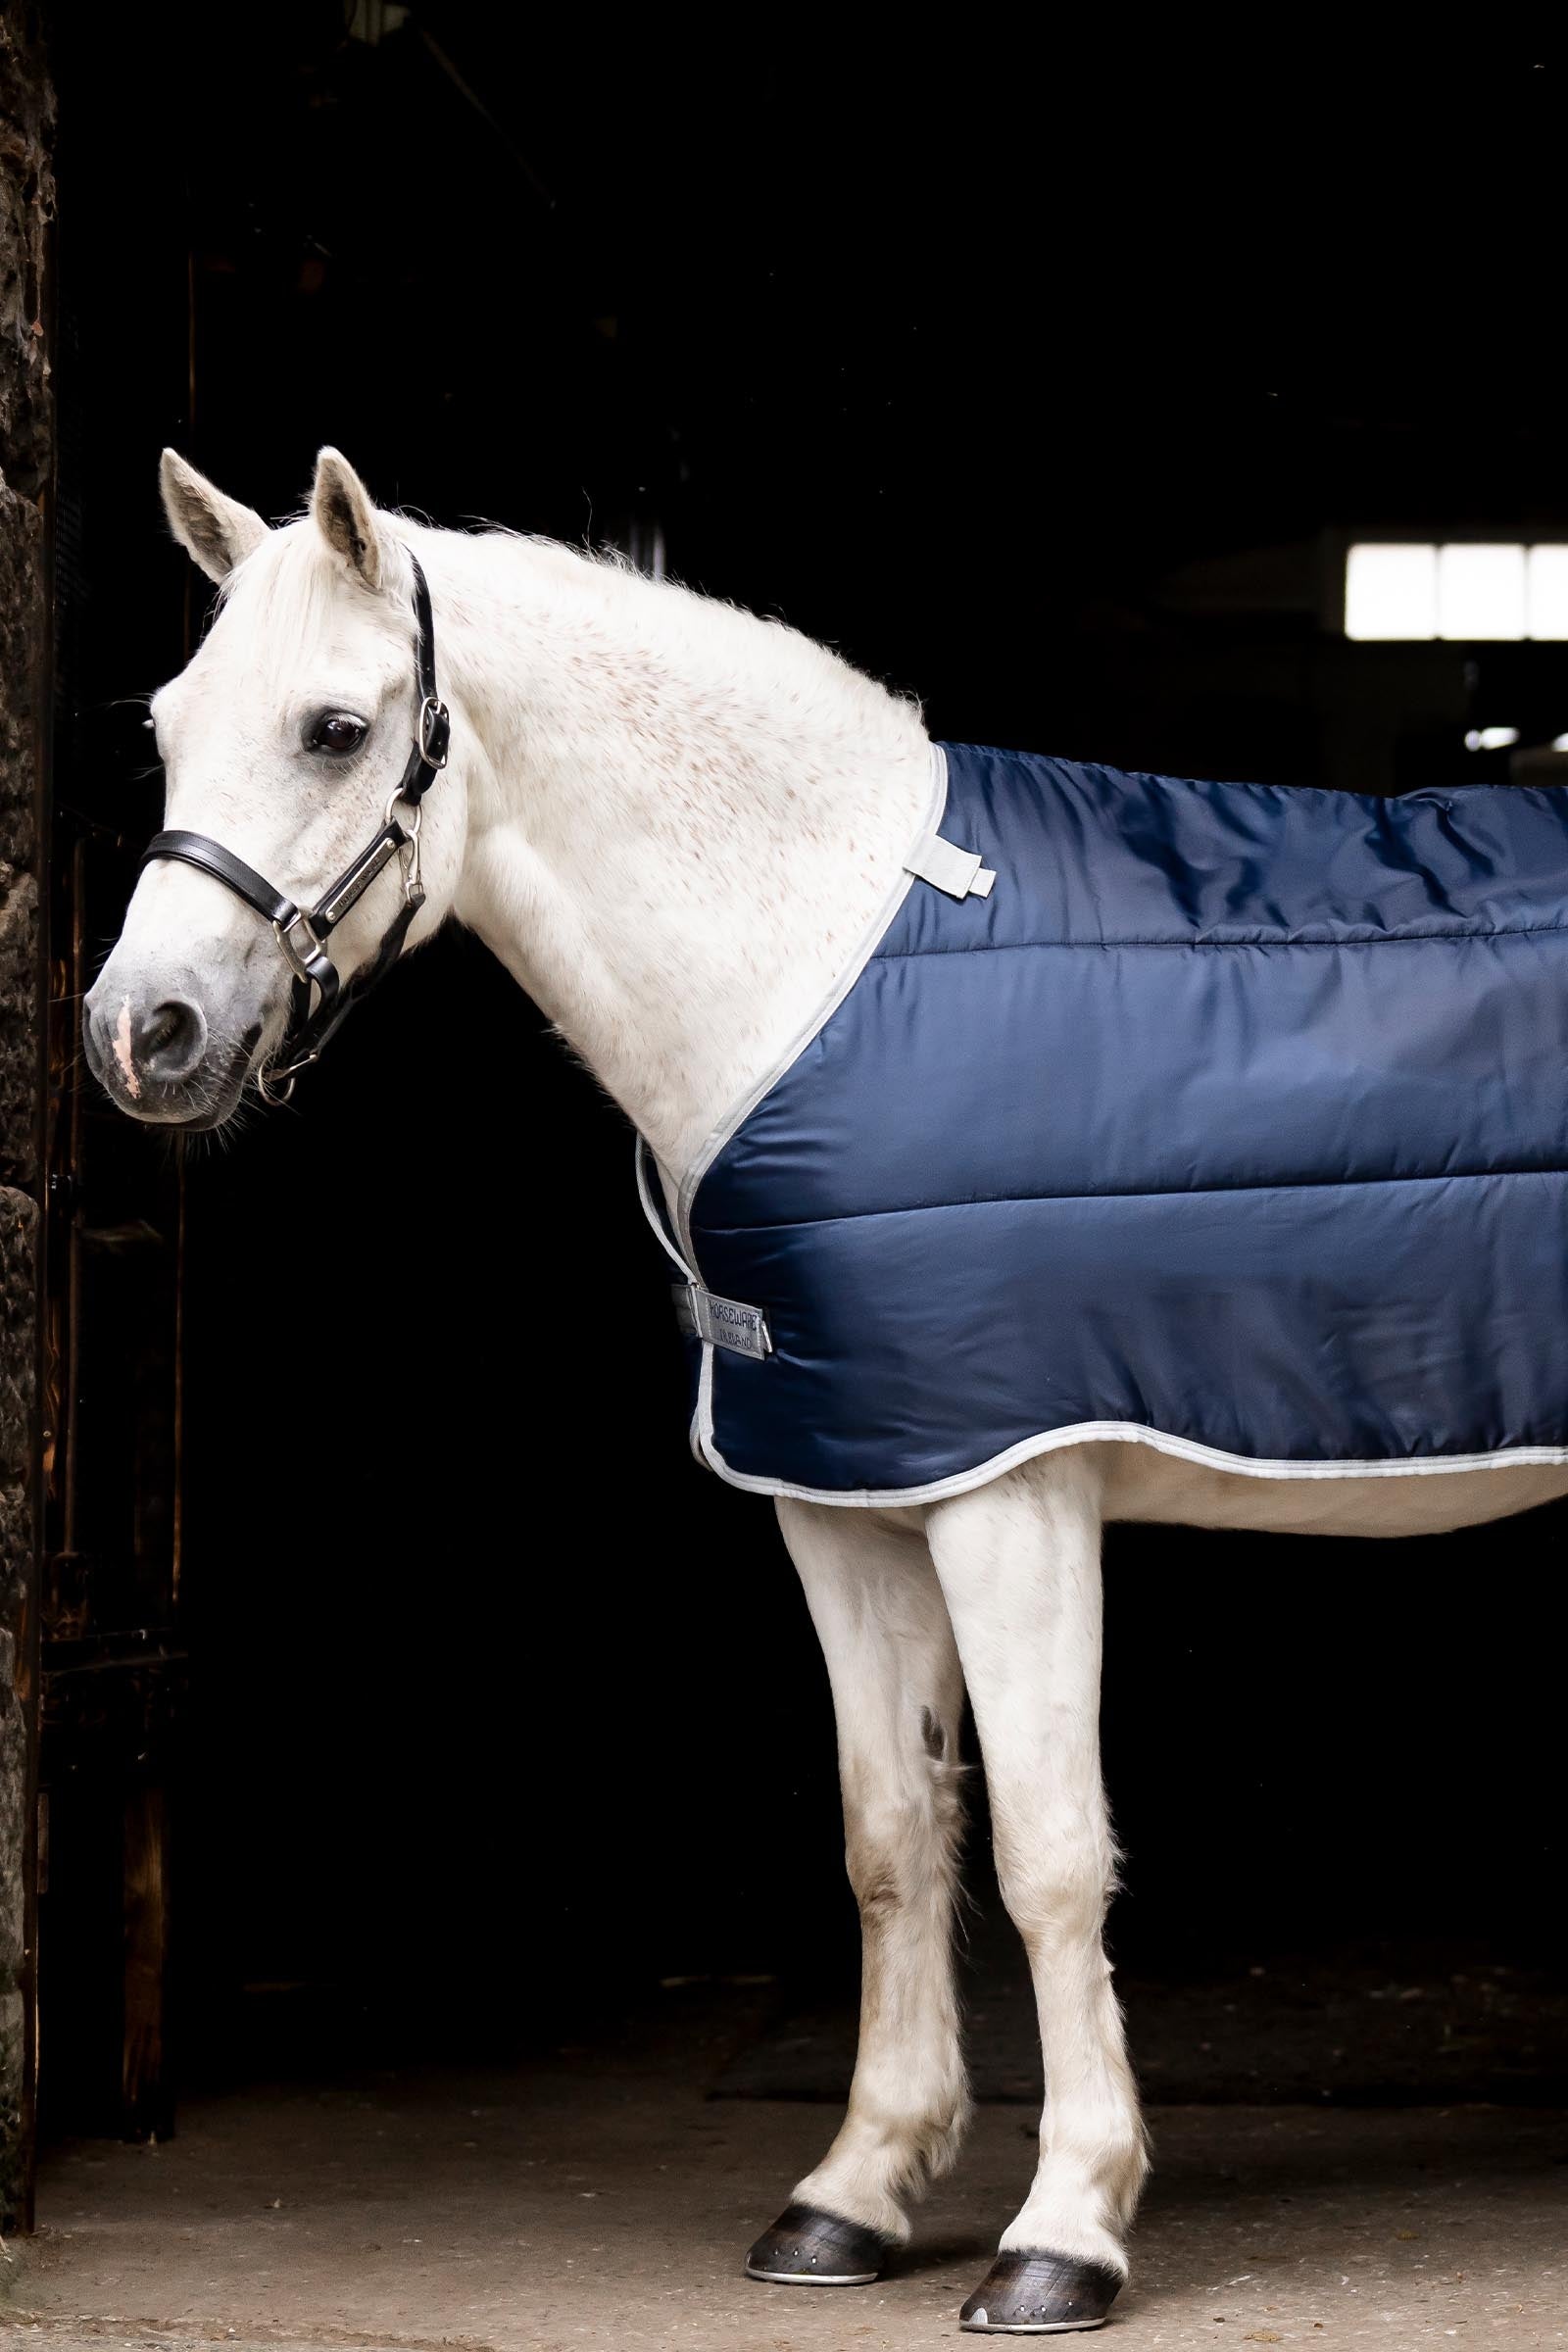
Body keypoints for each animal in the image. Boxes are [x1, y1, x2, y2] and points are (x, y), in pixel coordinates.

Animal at [84, 447, 1568, 2337]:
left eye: (335, 730)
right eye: (169, 723)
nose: (140, 1034)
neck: (816, 953)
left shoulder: (1015, 1488)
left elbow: (1047, 1853)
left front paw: (1066, 2229)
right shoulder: (847, 1492)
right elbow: (888, 1835)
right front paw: (858, 2191)